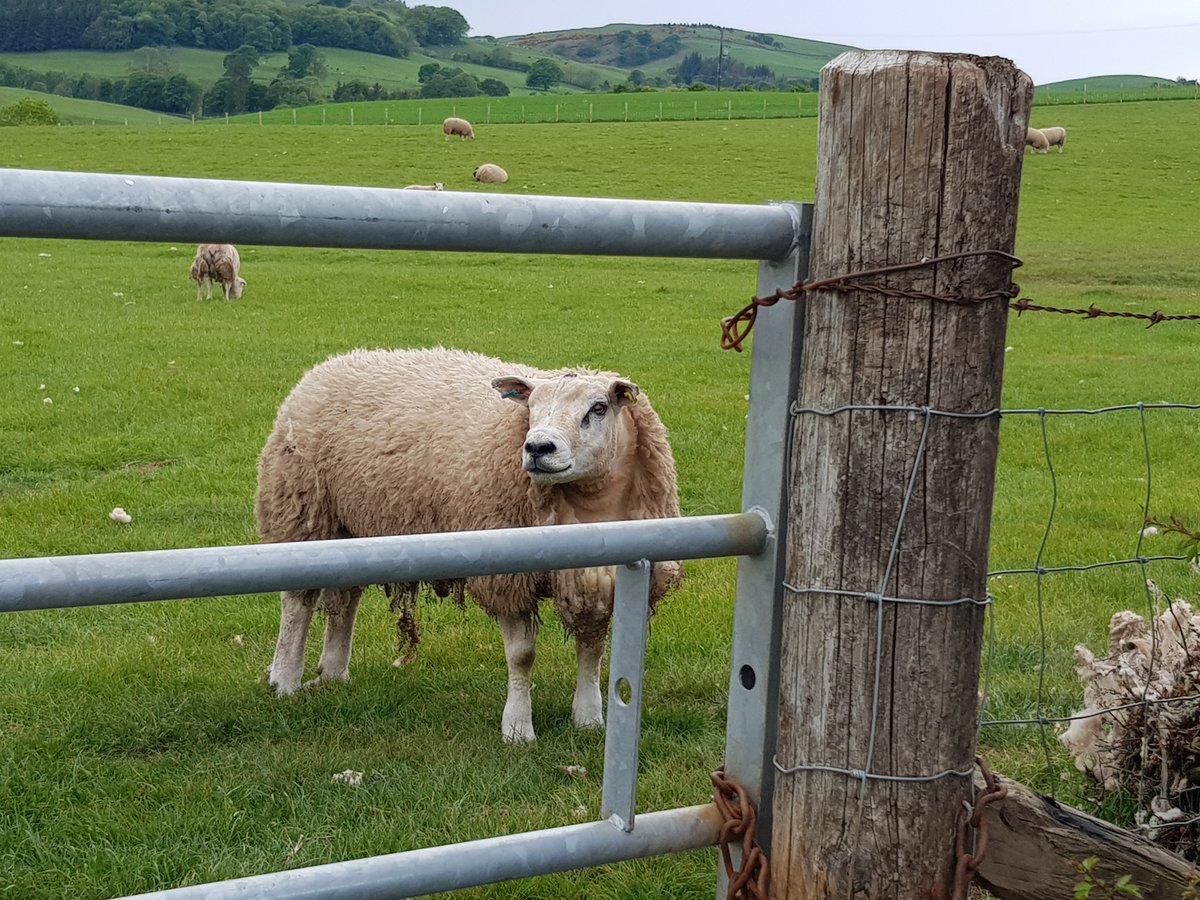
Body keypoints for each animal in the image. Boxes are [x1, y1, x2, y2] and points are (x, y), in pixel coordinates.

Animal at [256, 347, 683, 744]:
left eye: (598, 408)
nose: (537, 448)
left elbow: (592, 648)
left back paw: (332, 673)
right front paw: (518, 729)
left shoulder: (599, 578)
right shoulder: (507, 576)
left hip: (350, 528)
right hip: (302, 510)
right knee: (297, 602)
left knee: (345, 598)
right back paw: (285, 678)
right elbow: (522, 655)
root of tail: (333, 363)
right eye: (531, 407)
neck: (589, 503)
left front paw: (589, 718)